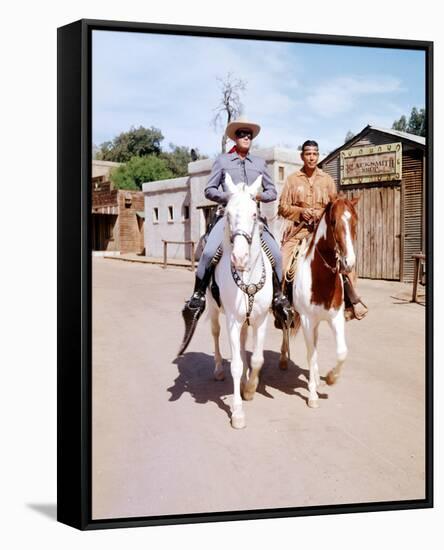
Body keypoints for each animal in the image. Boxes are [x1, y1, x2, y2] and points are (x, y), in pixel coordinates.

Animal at [208, 175, 274, 430]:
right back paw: (218, 369)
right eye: (227, 214)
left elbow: (257, 359)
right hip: (213, 309)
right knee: (215, 333)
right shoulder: (233, 321)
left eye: (254, 214)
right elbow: (235, 364)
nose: (240, 258)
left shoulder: (262, 320)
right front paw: (237, 412)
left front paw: (250, 388)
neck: (247, 276)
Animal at [280, 198, 360, 410]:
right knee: (284, 331)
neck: (321, 278)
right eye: (333, 222)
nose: (349, 263)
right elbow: (311, 354)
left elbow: (341, 352)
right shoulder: (307, 320)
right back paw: (283, 360)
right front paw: (313, 395)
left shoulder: (336, 318)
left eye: (354, 222)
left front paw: (331, 378)